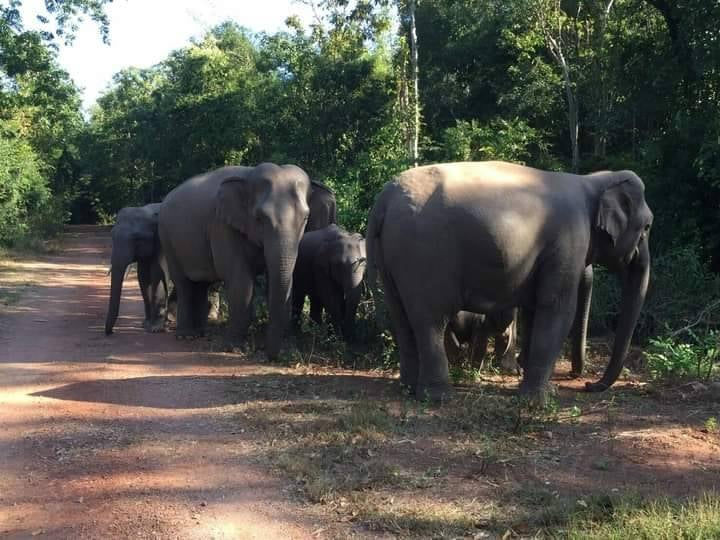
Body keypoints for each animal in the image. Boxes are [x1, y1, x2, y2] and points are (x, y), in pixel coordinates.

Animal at [104, 202, 169, 336]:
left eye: (137, 239)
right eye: (112, 235)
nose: (111, 332)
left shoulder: (161, 243)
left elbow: (156, 275)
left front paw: (155, 329)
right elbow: (142, 277)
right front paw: (145, 325)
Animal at [158, 163, 310, 358]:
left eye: (306, 218)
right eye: (259, 218)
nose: (269, 355)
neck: (248, 175)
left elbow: (282, 280)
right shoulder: (222, 226)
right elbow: (240, 281)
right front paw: (235, 349)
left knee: (201, 284)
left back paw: (202, 333)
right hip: (167, 238)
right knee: (184, 283)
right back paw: (186, 336)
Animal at [366, 160, 652, 400]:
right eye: (648, 226)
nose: (588, 384)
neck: (592, 180)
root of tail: (383, 200)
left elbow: (534, 309)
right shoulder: (569, 238)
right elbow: (556, 307)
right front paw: (537, 400)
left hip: (390, 259)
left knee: (401, 317)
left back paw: (407, 388)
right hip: (423, 254)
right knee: (431, 320)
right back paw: (438, 397)